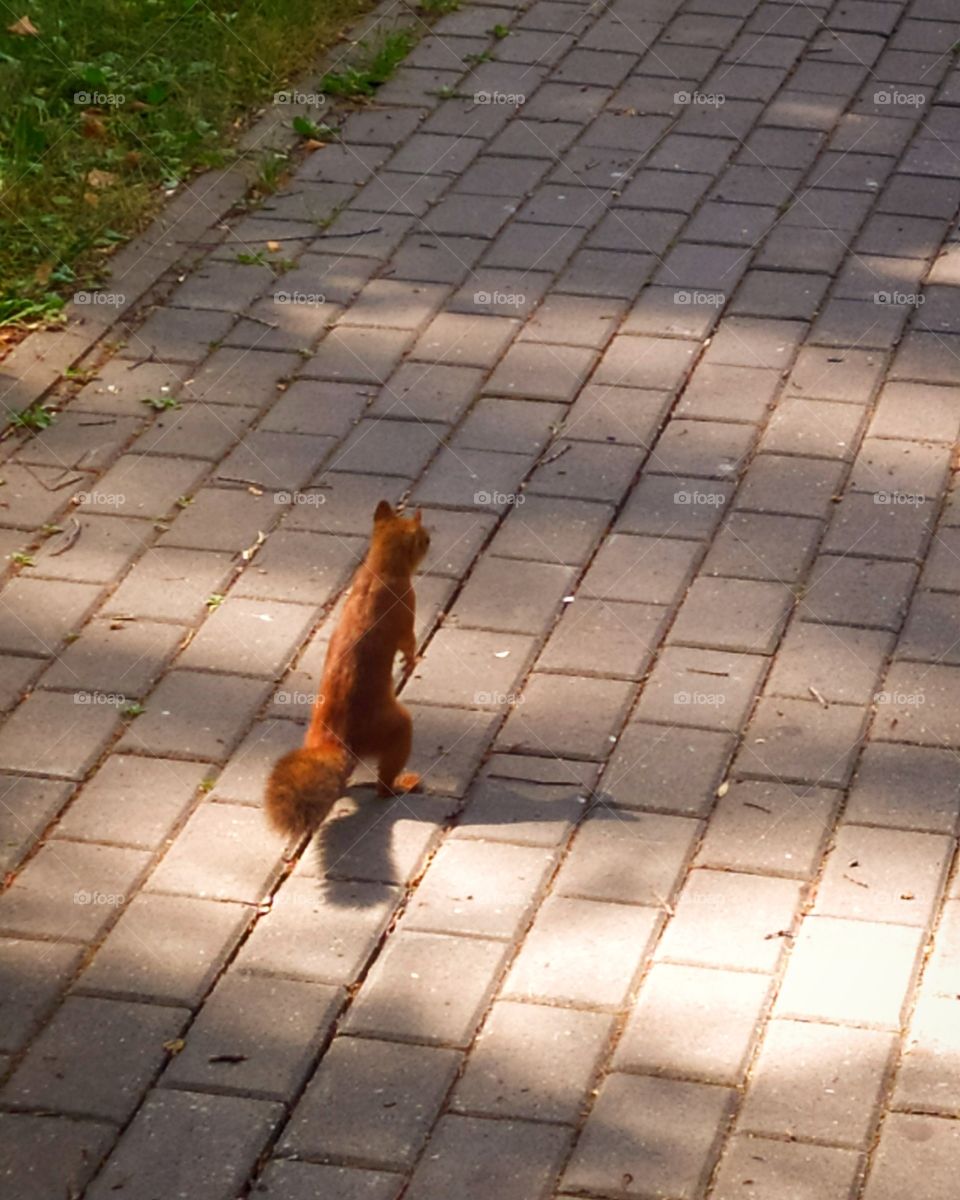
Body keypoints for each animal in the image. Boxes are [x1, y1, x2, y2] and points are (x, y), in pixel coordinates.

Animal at [265, 500, 430, 837]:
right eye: (424, 538)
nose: (432, 541)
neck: (378, 570)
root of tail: (334, 740)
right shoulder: (406, 609)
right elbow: (408, 641)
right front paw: (410, 661)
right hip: (395, 728)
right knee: (383, 784)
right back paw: (401, 785)